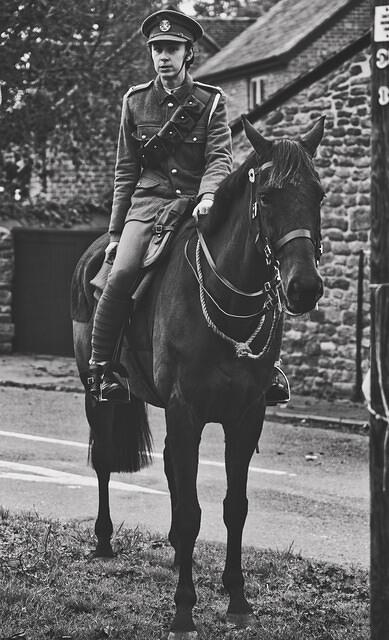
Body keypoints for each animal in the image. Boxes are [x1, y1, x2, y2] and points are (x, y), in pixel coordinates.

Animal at [70, 116, 324, 640]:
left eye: (320, 194)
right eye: (268, 196)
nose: (305, 287)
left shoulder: (245, 417)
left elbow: (234, 507)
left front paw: (238, 599)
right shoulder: (186, 412)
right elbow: (191, 512)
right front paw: (184, 609)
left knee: (170, 467)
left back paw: (170, 554)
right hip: (96, 393)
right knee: (104, 461)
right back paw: (104, 541)